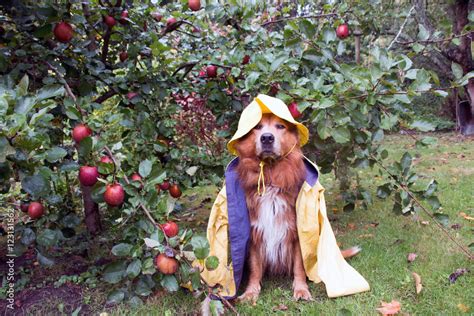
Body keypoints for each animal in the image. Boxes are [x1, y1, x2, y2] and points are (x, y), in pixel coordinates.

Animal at [232, 114, 360, 304]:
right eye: (257, 127)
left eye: (280, 126)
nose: (267, 138)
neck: (271, 173)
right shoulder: (255, 234)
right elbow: (255, 268)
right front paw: (251, 291)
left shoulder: (296, 234)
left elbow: (299, 267)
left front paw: (301, 289)